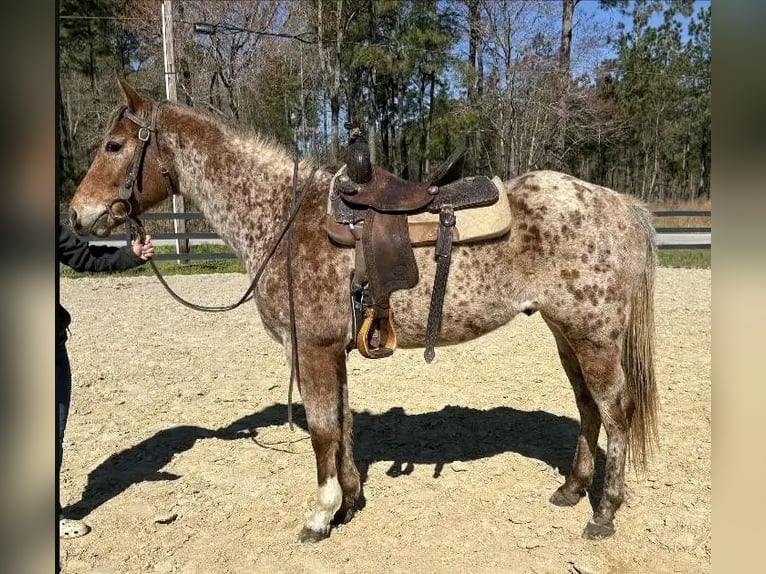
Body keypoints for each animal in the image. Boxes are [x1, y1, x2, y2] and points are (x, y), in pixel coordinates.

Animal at [69, 79, 658, 542]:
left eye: (115, 144)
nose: (78, 215)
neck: (282, 218)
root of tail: (618, 203)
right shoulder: (333, 350)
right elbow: (343, 421)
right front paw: (349, 501)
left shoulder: (311, 348)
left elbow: (322, 428)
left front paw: (320, 514)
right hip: (567, 333)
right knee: (587, 407)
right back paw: (572, 489)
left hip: (594, 337)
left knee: (615, 411)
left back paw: (603, 513)